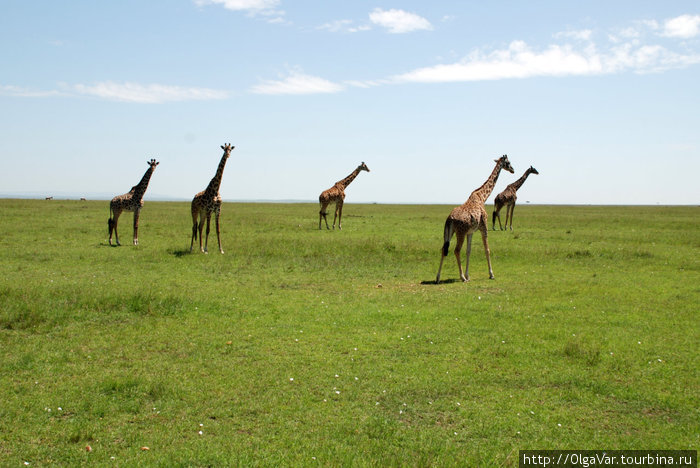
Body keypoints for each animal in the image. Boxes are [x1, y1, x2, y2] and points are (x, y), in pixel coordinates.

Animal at [434, 155, 516, 284]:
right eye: (508, 162)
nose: (513, 170)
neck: (482, 197)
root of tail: (450, 218)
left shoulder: (470, 232)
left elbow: (469, 251)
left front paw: (468, 275)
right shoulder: (484, 227)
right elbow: (487, 249)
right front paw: (491, 274)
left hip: (449, 232)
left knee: (443, 249)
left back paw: (438, 277)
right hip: (460, 233)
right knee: (456, 250)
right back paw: (461, 277)